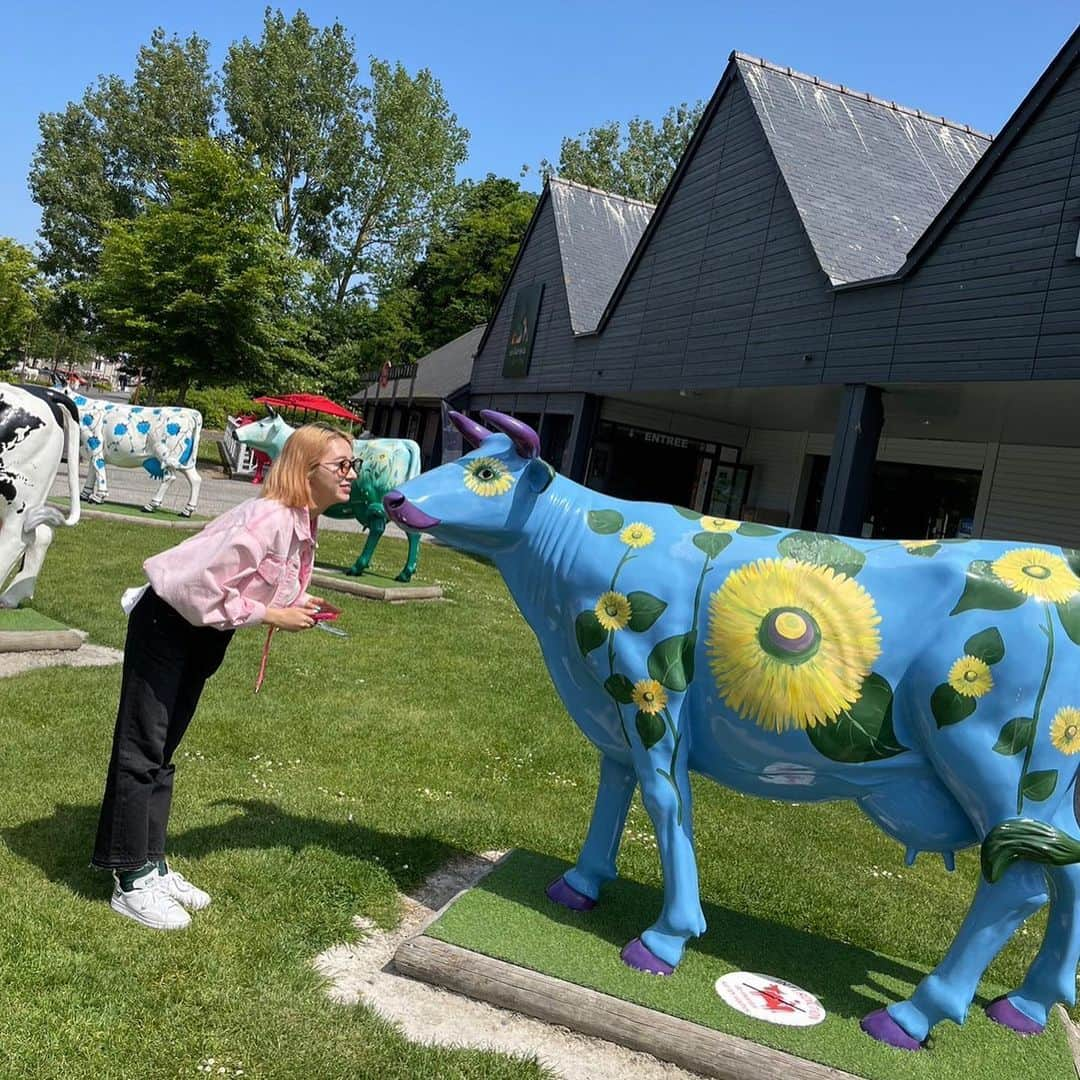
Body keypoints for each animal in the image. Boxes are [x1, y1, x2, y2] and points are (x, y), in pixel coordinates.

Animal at [62, 388, 204, 518]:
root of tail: (191, 413)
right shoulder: (93, 448)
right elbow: (93, 471)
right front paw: (84, 495)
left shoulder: (94, 442)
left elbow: (99, 468)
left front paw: (98, 497)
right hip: (183, 461)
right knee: (195, 479)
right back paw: (187, 511)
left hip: (165, 454)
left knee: (169, 477)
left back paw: (150, 505)